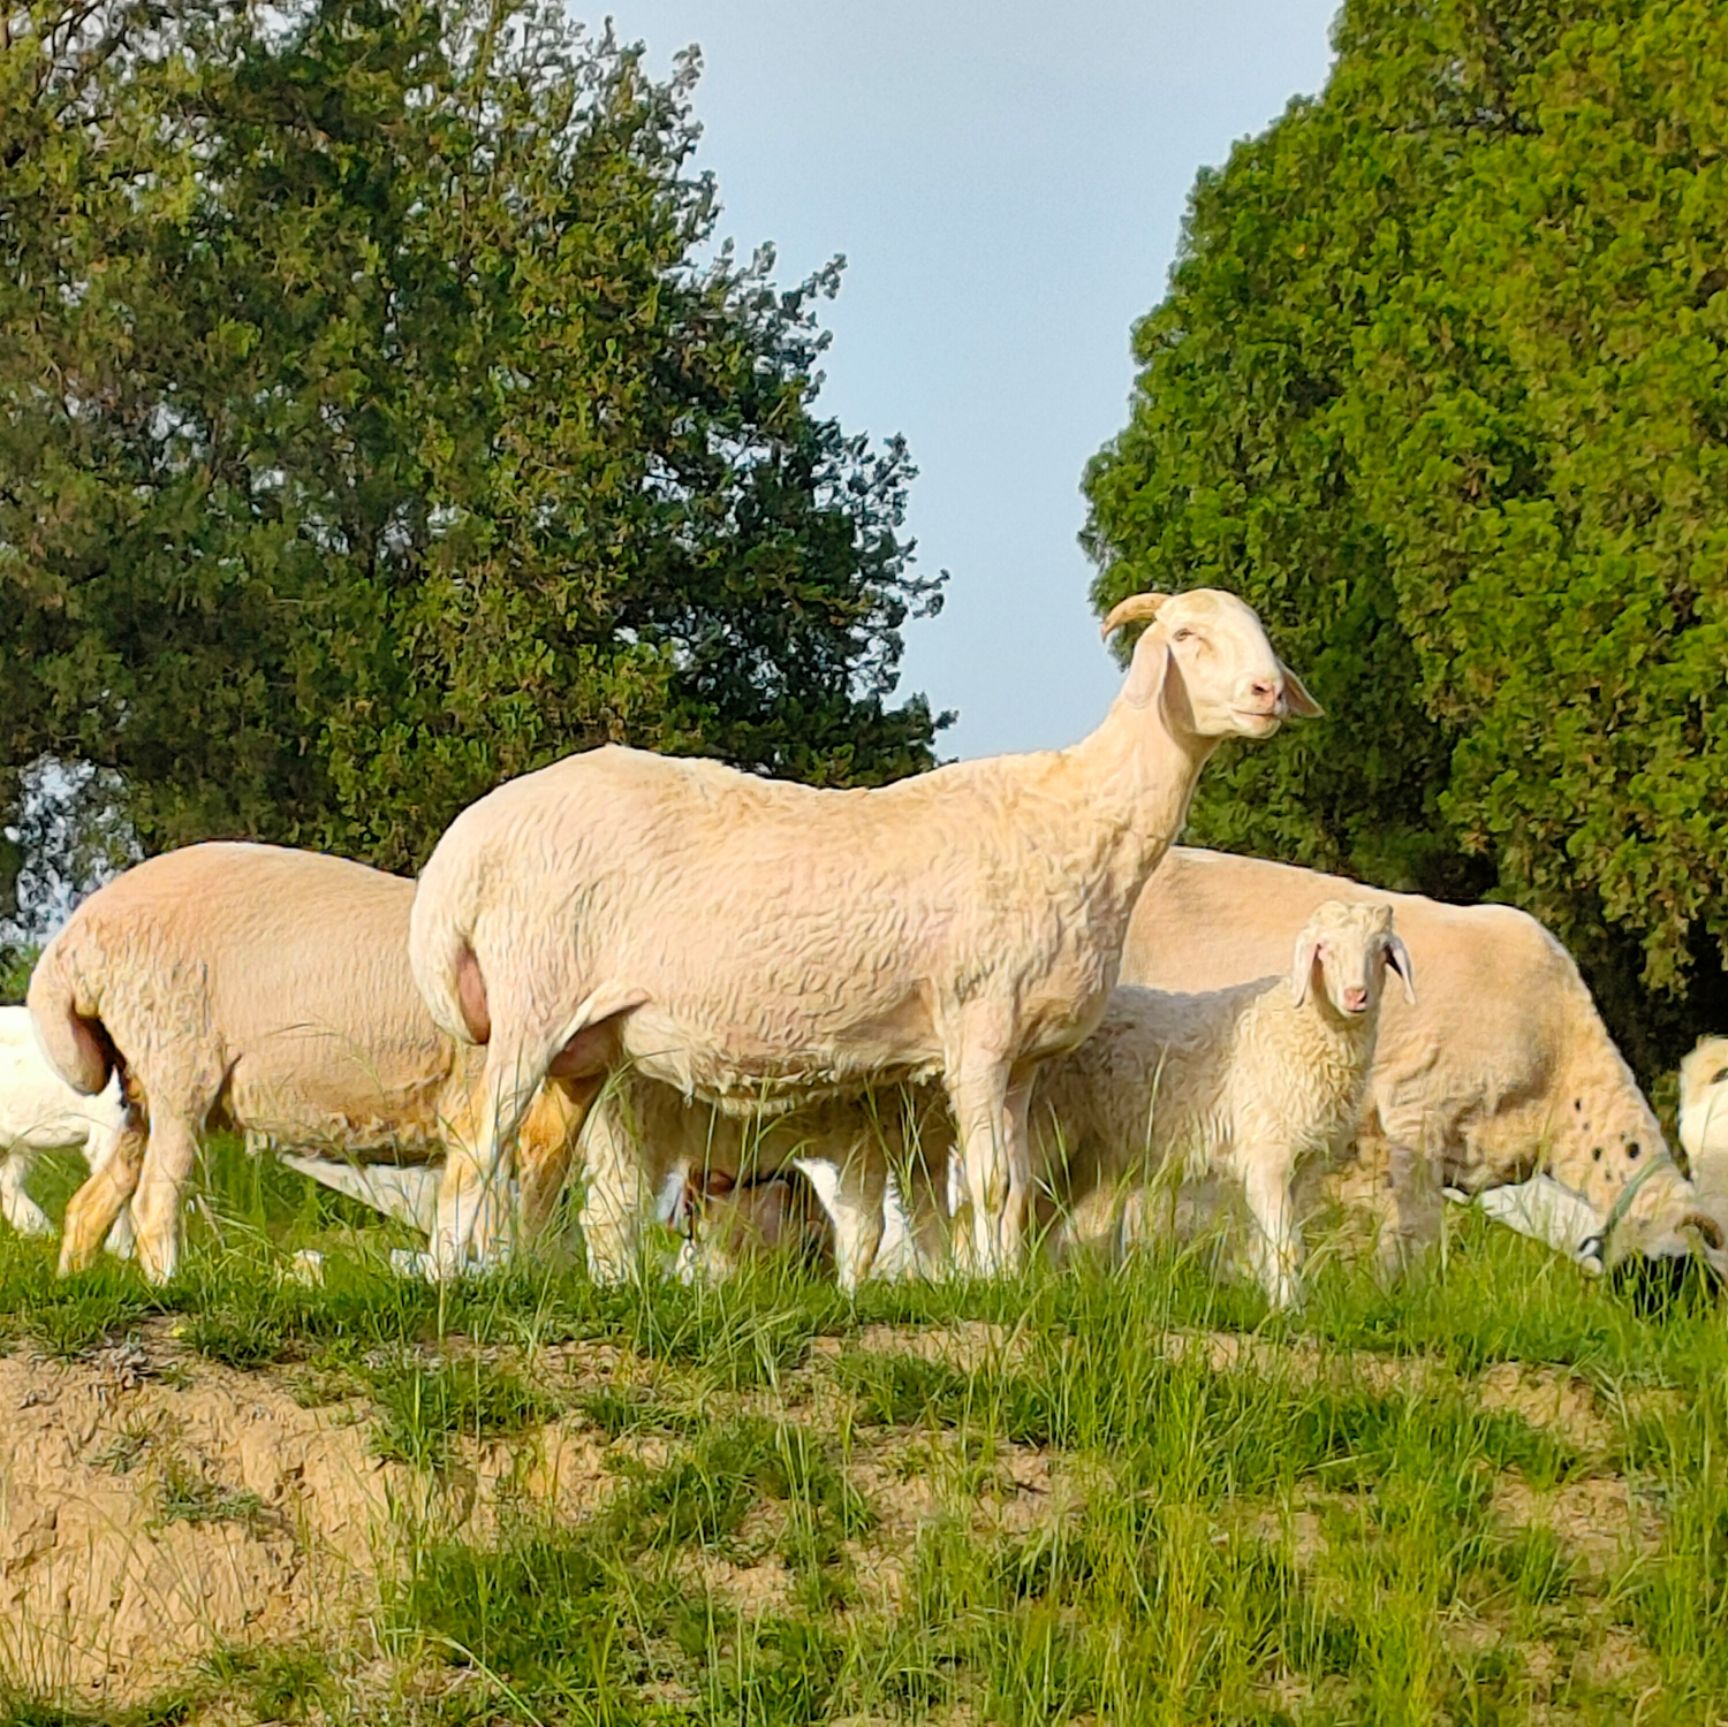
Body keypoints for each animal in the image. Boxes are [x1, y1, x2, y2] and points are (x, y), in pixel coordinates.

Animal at [407, 587, 1320, 1279]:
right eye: (1189, 637)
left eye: (1264, 638)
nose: (1268, 693)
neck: (1081, 816)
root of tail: (469, 842)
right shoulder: (977, 1025)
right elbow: (988, 1186)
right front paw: (988, 1289)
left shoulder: (1023, 1054)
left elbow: (1015, 1186)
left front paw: (1008, 1281)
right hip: (535, 989)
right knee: (478, 1145)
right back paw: (452, 1276)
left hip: (584, 1037)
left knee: (537, 1155)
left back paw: (529, 1276)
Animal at [1029, 898, 1410, 1300]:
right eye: (1324, 948)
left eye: (1381, 949)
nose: (1357, 996)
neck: (1298, 1026)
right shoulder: (1266, 1154)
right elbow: (1285, 1242)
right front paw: (1289, 1305)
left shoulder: (1296, 1164)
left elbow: (1274, 1242)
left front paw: (1276, 1296)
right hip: (1041, 1128)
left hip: (1078, 1156)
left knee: (1040, 1214)